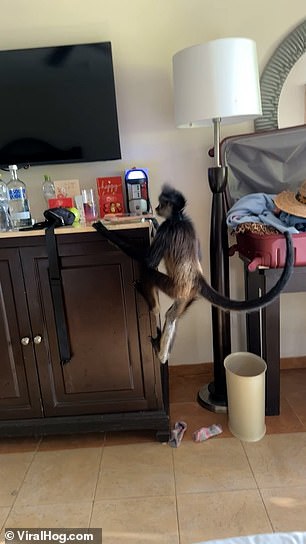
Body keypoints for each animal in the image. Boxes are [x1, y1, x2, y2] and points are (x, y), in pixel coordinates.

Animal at [93, 184, 294, 366]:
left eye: (161, 203)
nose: (156, 208)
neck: (179, 217)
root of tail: (197, 278)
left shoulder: (168, 227)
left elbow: (148, 260)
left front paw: (103, 229)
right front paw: (153, 222)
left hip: (173, 287)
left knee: (149, 273)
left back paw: (155, 316)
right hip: (185, 296)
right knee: (172, 315)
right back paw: (162, 348)